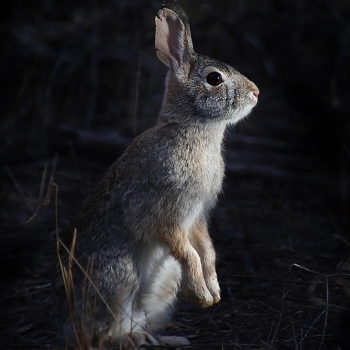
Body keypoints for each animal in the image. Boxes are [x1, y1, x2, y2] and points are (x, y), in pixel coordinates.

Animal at [53, 0, 258, 348]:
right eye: (214, 78)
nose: (256, 92)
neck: (192, 130)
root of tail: (66, 324)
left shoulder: (197, 216)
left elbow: (207, 251)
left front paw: (212, 293)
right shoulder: (164, 214)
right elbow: (187, 252)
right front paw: (202, 295)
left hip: (165, 281)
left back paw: (167, 339)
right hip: (120, 276)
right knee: (103, 335)